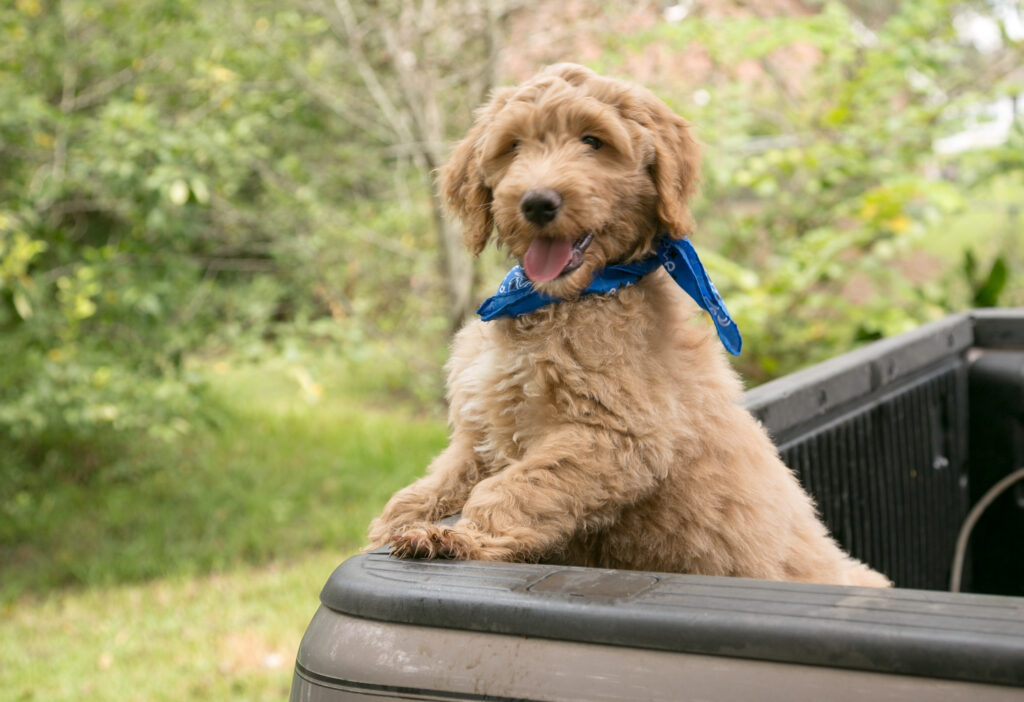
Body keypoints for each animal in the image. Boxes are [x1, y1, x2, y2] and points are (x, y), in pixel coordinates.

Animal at [368, 63, 888, 589]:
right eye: (514, 145)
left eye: (593, 141)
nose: (537, 203)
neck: (569, 298)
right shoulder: (481, 430)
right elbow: (438, 479)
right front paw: (393, 525)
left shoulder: (616, 438)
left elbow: (513, 489)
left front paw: (457, 538)